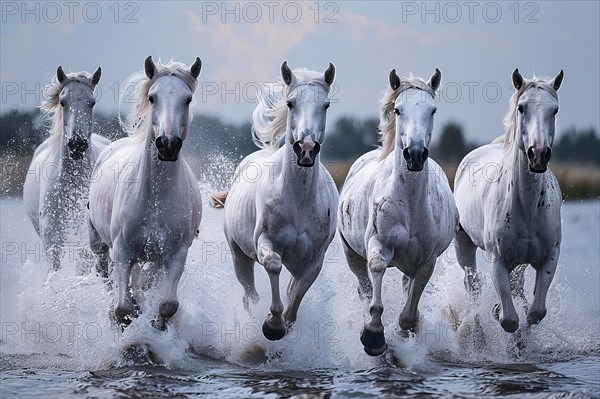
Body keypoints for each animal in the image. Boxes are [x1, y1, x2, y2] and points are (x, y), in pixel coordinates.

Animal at [86, 56, 203, 332]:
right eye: (152, 97)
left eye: (188, 99)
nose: (168, 144)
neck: (154, 197)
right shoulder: (123, 253)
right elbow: (123, 309)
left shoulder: (175, 256)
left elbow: (167, 305)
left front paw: (155, 330)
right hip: (99, 246)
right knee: (107, 277)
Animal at [210, 61, 338, 342]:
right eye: (290, 103)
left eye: (326, 105)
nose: (307, 148)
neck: (298, 199)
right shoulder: (265, 242)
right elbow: (272, 264)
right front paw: (272, 323)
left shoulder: (313, 260)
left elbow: (295, 300)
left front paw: (283, 323)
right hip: (239, 256)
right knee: (250, 295)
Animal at [338, 69, 460, 356]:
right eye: (398, 109)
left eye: (433, 110)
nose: (414, 154)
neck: (410, 203)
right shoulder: (378, 244)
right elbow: (377, 269)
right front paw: (373, 334)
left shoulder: (426, 261)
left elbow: (408, 314)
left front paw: (403, 332)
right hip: (352, 256)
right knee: (364, 286)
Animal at [458, 69, 564, 334]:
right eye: (521, 108)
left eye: (555, 110)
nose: (538, 154)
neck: (526, 207)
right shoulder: (497, 260)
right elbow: (508, 320)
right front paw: (499, 313)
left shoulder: (549, 257)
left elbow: (535, 313)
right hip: (463, 244)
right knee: (473, 285)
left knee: (516, 285)